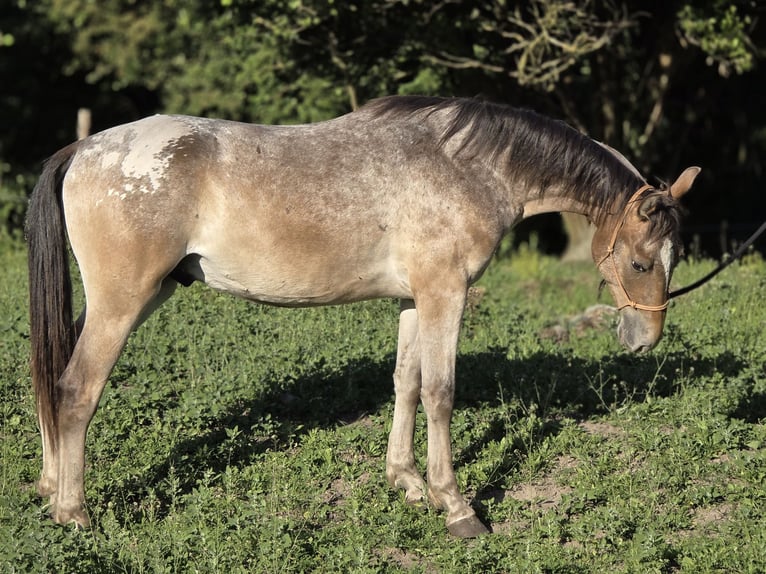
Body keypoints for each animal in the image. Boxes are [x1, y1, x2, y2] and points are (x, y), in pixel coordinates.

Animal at [26, 95, 699, 537]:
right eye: (641, 262)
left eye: (675, 256)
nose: (646, 340)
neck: (466, 165)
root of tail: (87, 146)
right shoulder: (445, 294)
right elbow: (441, 393)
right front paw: (457, 508)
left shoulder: (414, 299)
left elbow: (406, 384)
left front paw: (407, 482)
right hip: (122, 303)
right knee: (76, 390)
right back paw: (75, 513)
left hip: (131, 299)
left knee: (54, 385)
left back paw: (50, 489)